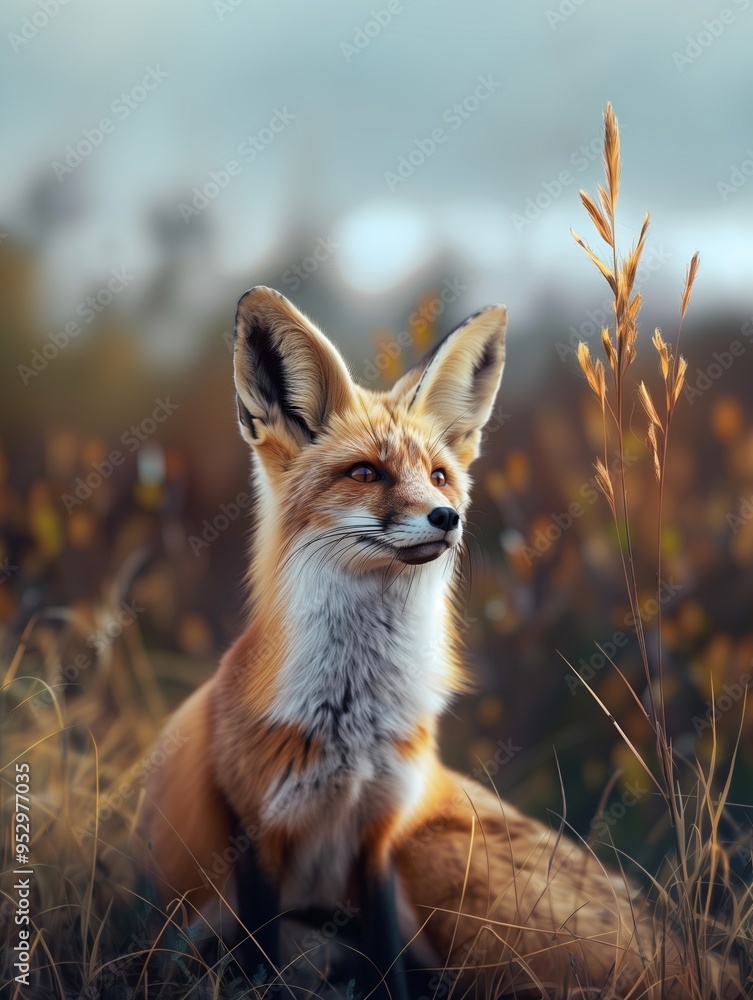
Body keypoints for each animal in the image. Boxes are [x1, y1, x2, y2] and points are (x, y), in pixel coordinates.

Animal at [138, 286, 730, 999]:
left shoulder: (382, 836)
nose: (448, 518)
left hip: (434, 857)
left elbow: (388, 967)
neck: (353, 726)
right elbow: (260, 965)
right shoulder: (253, 833)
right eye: (366, 473)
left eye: (440, 476)